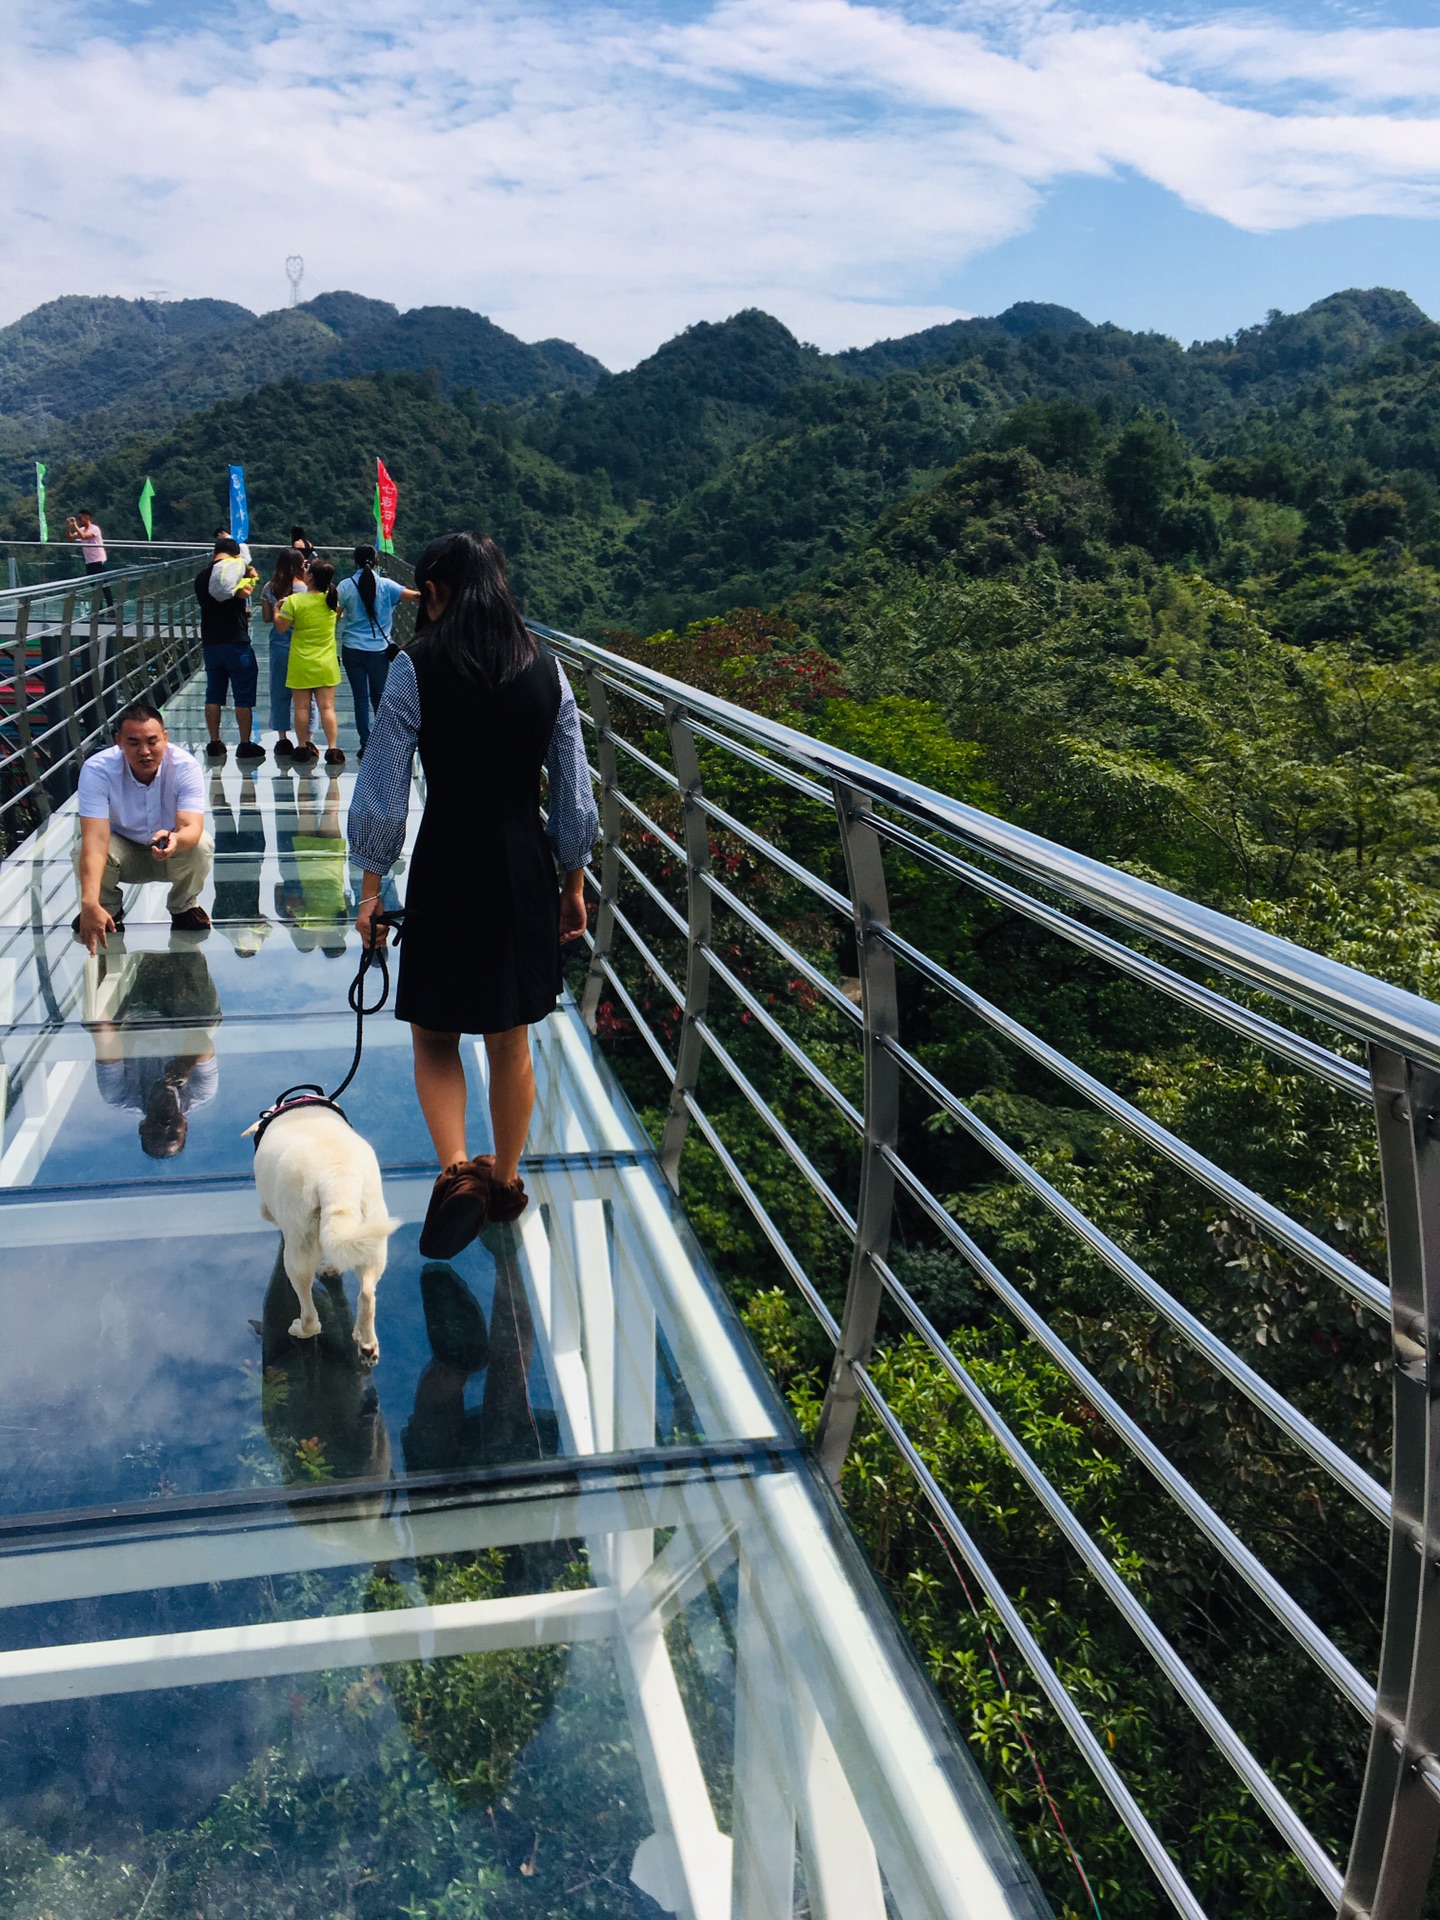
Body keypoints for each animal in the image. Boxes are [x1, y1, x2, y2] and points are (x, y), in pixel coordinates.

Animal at [251, 1105, 401, 1359]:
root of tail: (337, 1178)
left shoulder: (267, 1208)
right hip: (371, 1235)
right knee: (367, 1292)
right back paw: (366, 1343)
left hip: (299, 1255)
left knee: (311, 1317)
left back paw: (301, 1330)